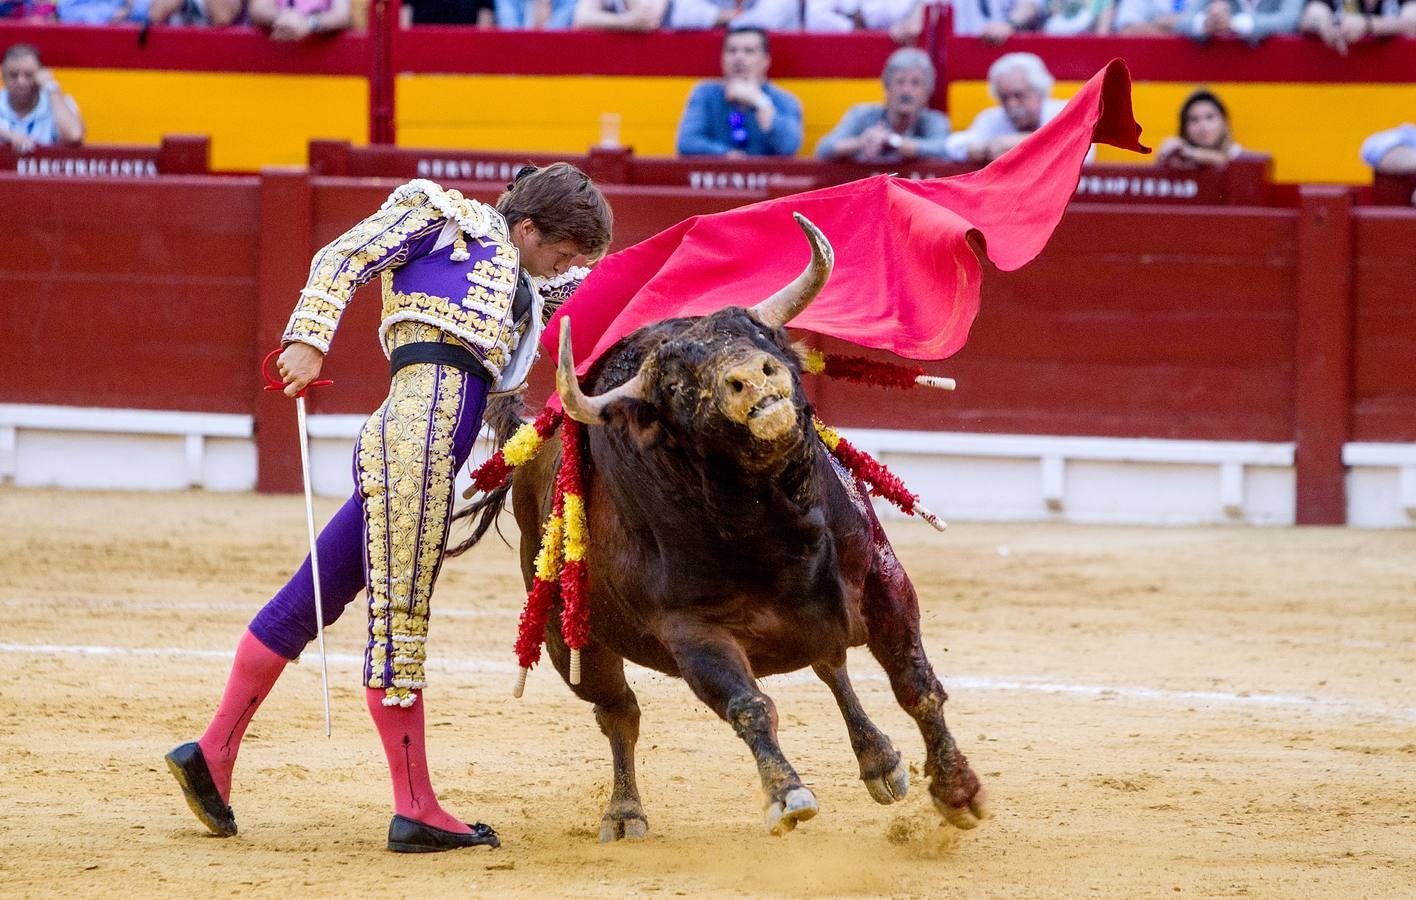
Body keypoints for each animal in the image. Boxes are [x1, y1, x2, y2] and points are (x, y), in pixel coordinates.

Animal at [475, 215, 985, 837]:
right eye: (675, 386)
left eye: (760, 339)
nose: (752, 377)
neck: (772, 527)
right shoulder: (692, 632)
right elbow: (749, 706)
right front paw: (787, 794)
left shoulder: (883, 582)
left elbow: (916, 683)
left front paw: (957, 790)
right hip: (568, 638)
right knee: (618, 712)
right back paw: (624, 812)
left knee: (831, 663)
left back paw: (880, 762)